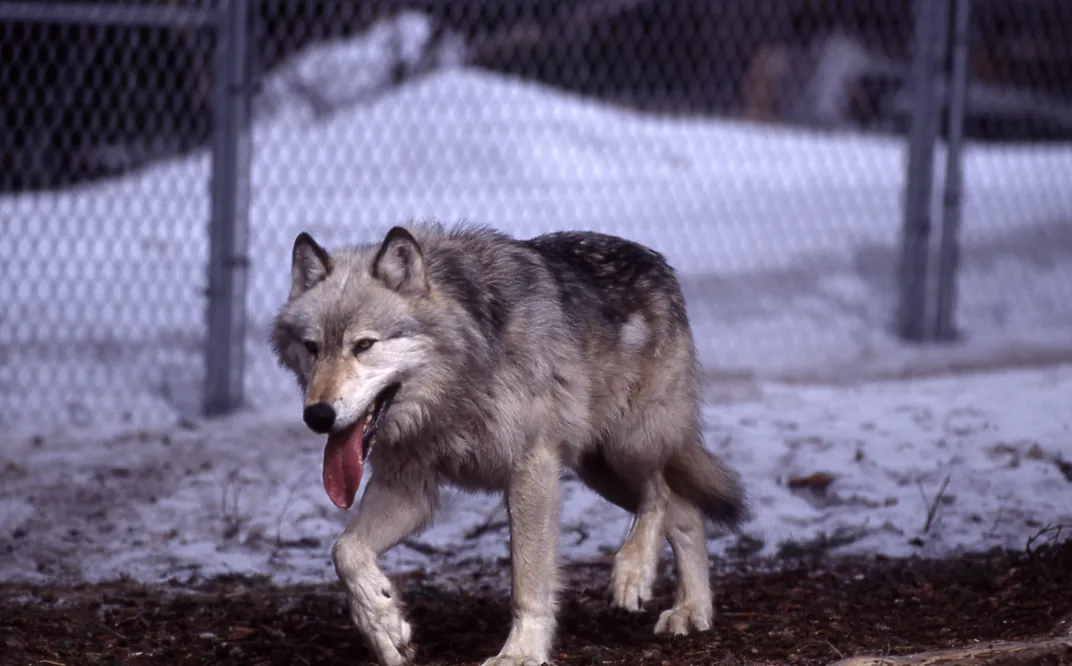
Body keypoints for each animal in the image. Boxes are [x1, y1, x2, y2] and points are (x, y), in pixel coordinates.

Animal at [270, 222, 746, 666]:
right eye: (312, 348)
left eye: (364, 345)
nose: (318, 416)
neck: (461, 373)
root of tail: (657, 261)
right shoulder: (409, 490)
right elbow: (345, 551)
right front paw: (385, 627)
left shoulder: (531, 469)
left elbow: (529, 581)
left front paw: (522, 652)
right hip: (600, 472)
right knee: (686, 511)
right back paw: (692, 611)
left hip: (627, 447)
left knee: (661, 494)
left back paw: (635, 572)